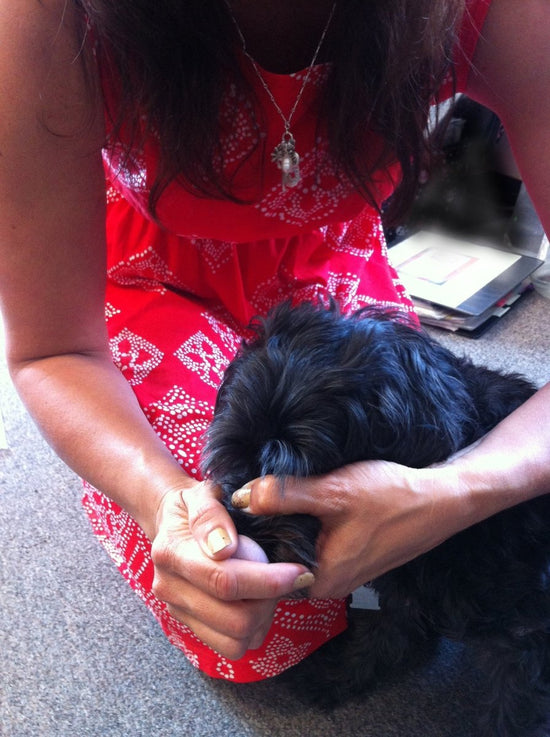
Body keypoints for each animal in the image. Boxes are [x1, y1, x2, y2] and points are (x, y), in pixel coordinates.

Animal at [201, 300, 550, 737]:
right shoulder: (403, 587)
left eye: (298, 473)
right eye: (234, 456)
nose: (241, 527)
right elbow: (385, 637)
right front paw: (336, 675)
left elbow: (509, 712)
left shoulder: (526, 642)